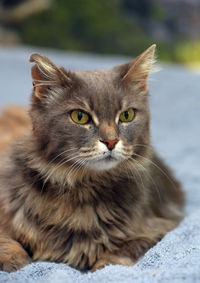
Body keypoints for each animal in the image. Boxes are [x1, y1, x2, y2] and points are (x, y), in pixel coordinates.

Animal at [0, 45, 184, 274]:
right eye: (80, 117)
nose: (111, 141)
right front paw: (14, 259)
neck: (82, 186)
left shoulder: (163, 225)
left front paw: (105, 264)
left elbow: (127, 247)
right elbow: (8, 240)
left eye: (127, 115)